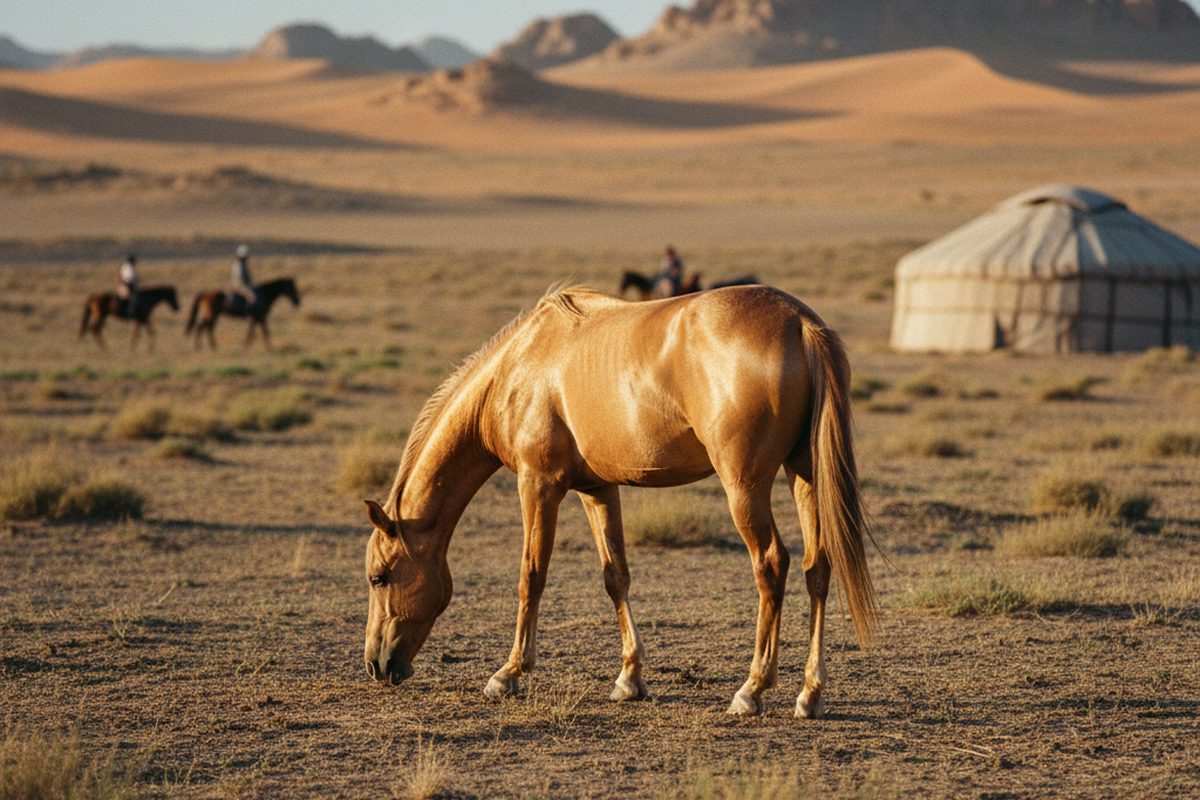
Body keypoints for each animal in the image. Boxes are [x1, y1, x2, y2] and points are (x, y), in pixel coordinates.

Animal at [361, 285, 877, 719]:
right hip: (803, 474)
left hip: (745, 487)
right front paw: (629, 678)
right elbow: (616, 577)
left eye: (379, 577)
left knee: (771, 565)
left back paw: (751, 689)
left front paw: (507, 674)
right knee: (817, 567)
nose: (376, 665)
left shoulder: (538, 484)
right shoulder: (598, 490)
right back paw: (809, 694)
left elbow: (531, 576)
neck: (518, 368)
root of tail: (799, 321)